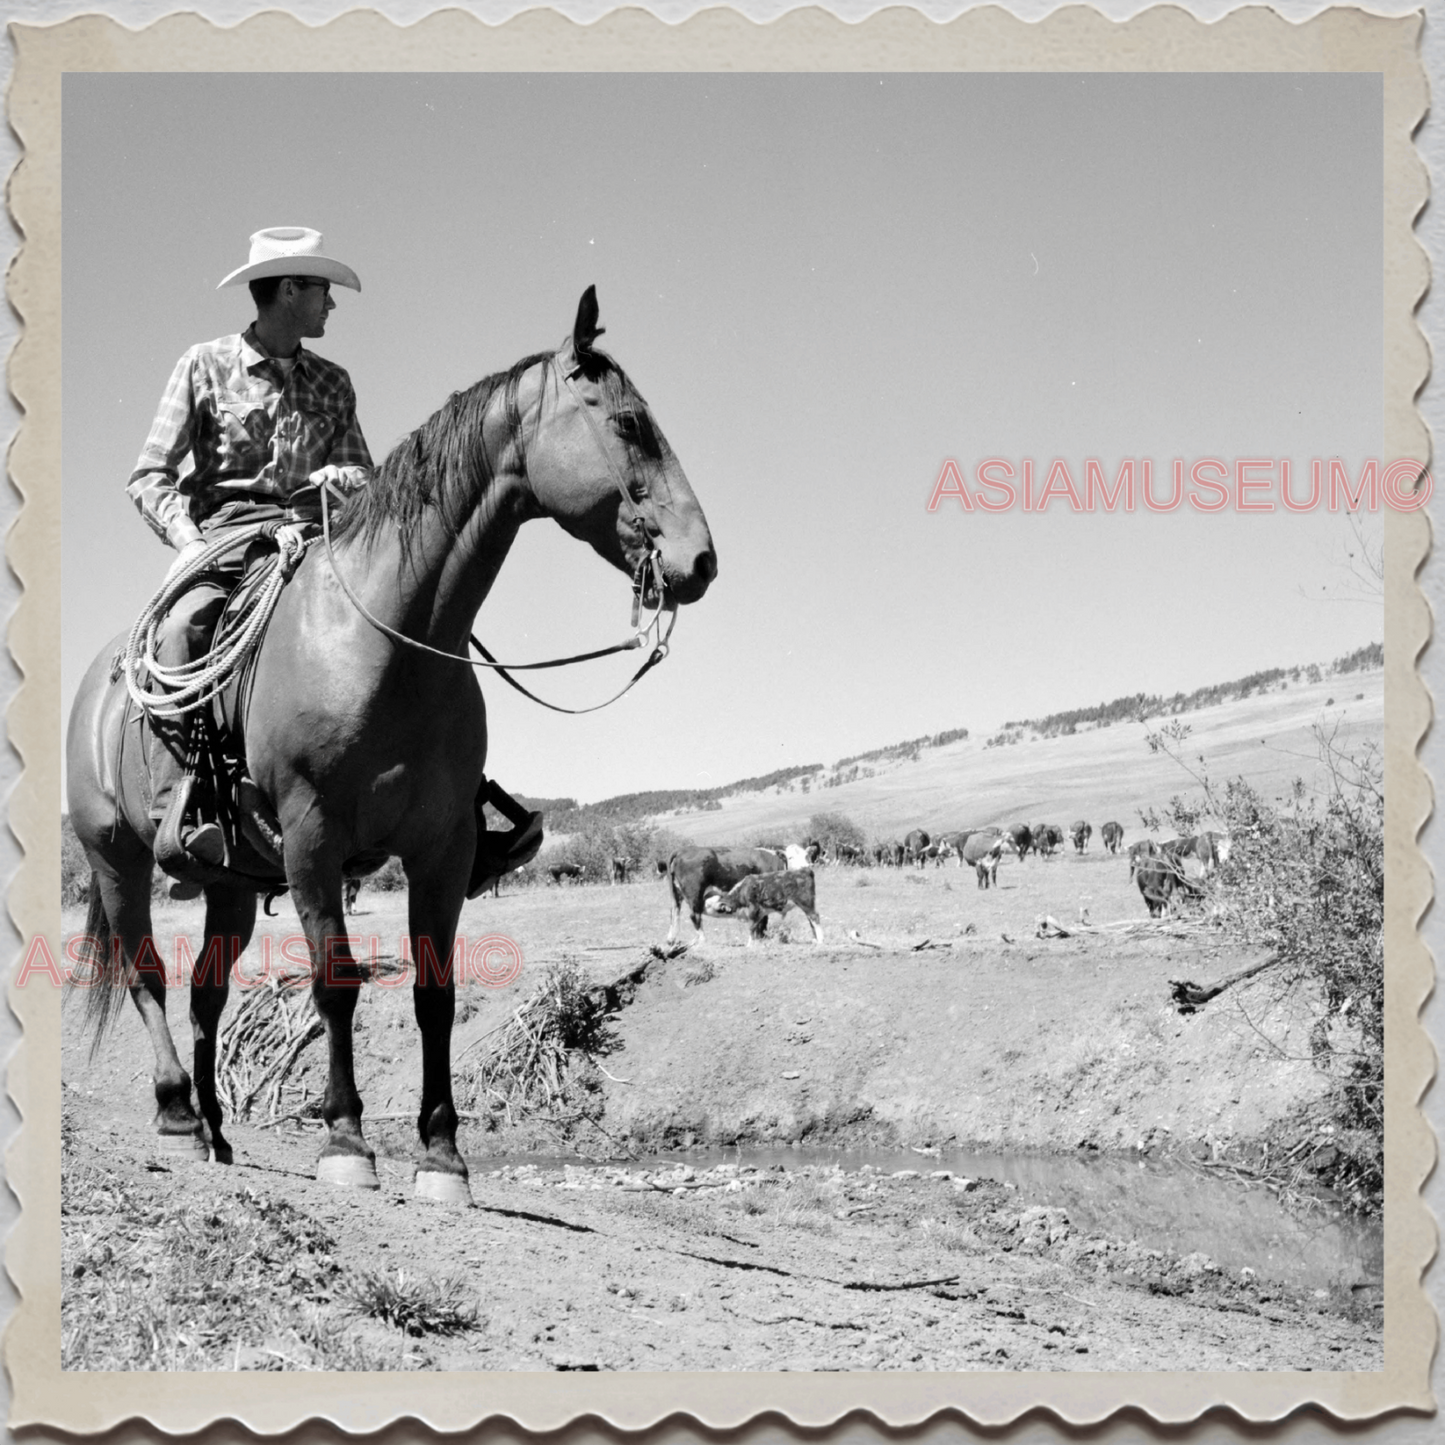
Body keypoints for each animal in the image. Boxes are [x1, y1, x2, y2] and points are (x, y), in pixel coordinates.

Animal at [67, 284, 716, 1208]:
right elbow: (335, 983)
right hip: (116, 858)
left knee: (205, 992)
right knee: (146, 973)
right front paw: (345, 1140)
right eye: (628, 422)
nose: (700, 560)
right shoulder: (311, 839)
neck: (385, 640)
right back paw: (175, 1115)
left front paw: (442, 1154)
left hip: (227, 881)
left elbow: (433, 993)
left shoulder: (441, 847)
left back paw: (218, 1129)